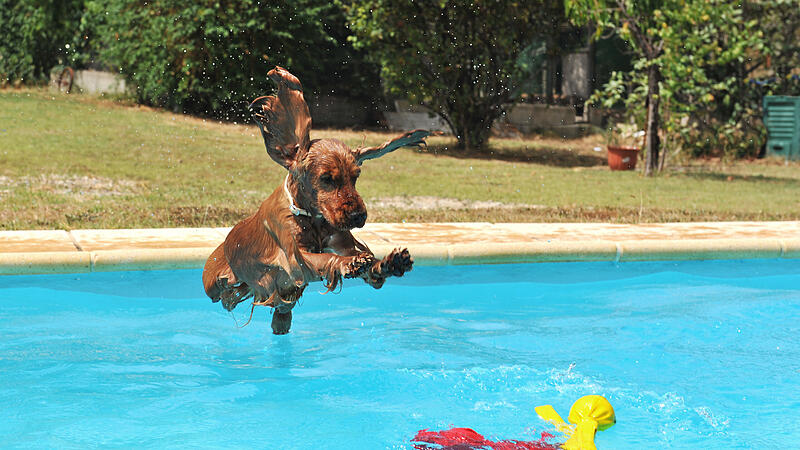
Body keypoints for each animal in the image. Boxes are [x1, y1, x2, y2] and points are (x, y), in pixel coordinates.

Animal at [203, 67, 434, 334]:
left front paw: (390, 262)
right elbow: (324, 259)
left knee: (279, 310)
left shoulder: (341, 242)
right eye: (326, 179)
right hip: (213, 281)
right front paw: (349, 263)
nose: (359, 216)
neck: (312, 218)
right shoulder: (295, 261)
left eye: (356, 176)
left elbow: (370, 269)